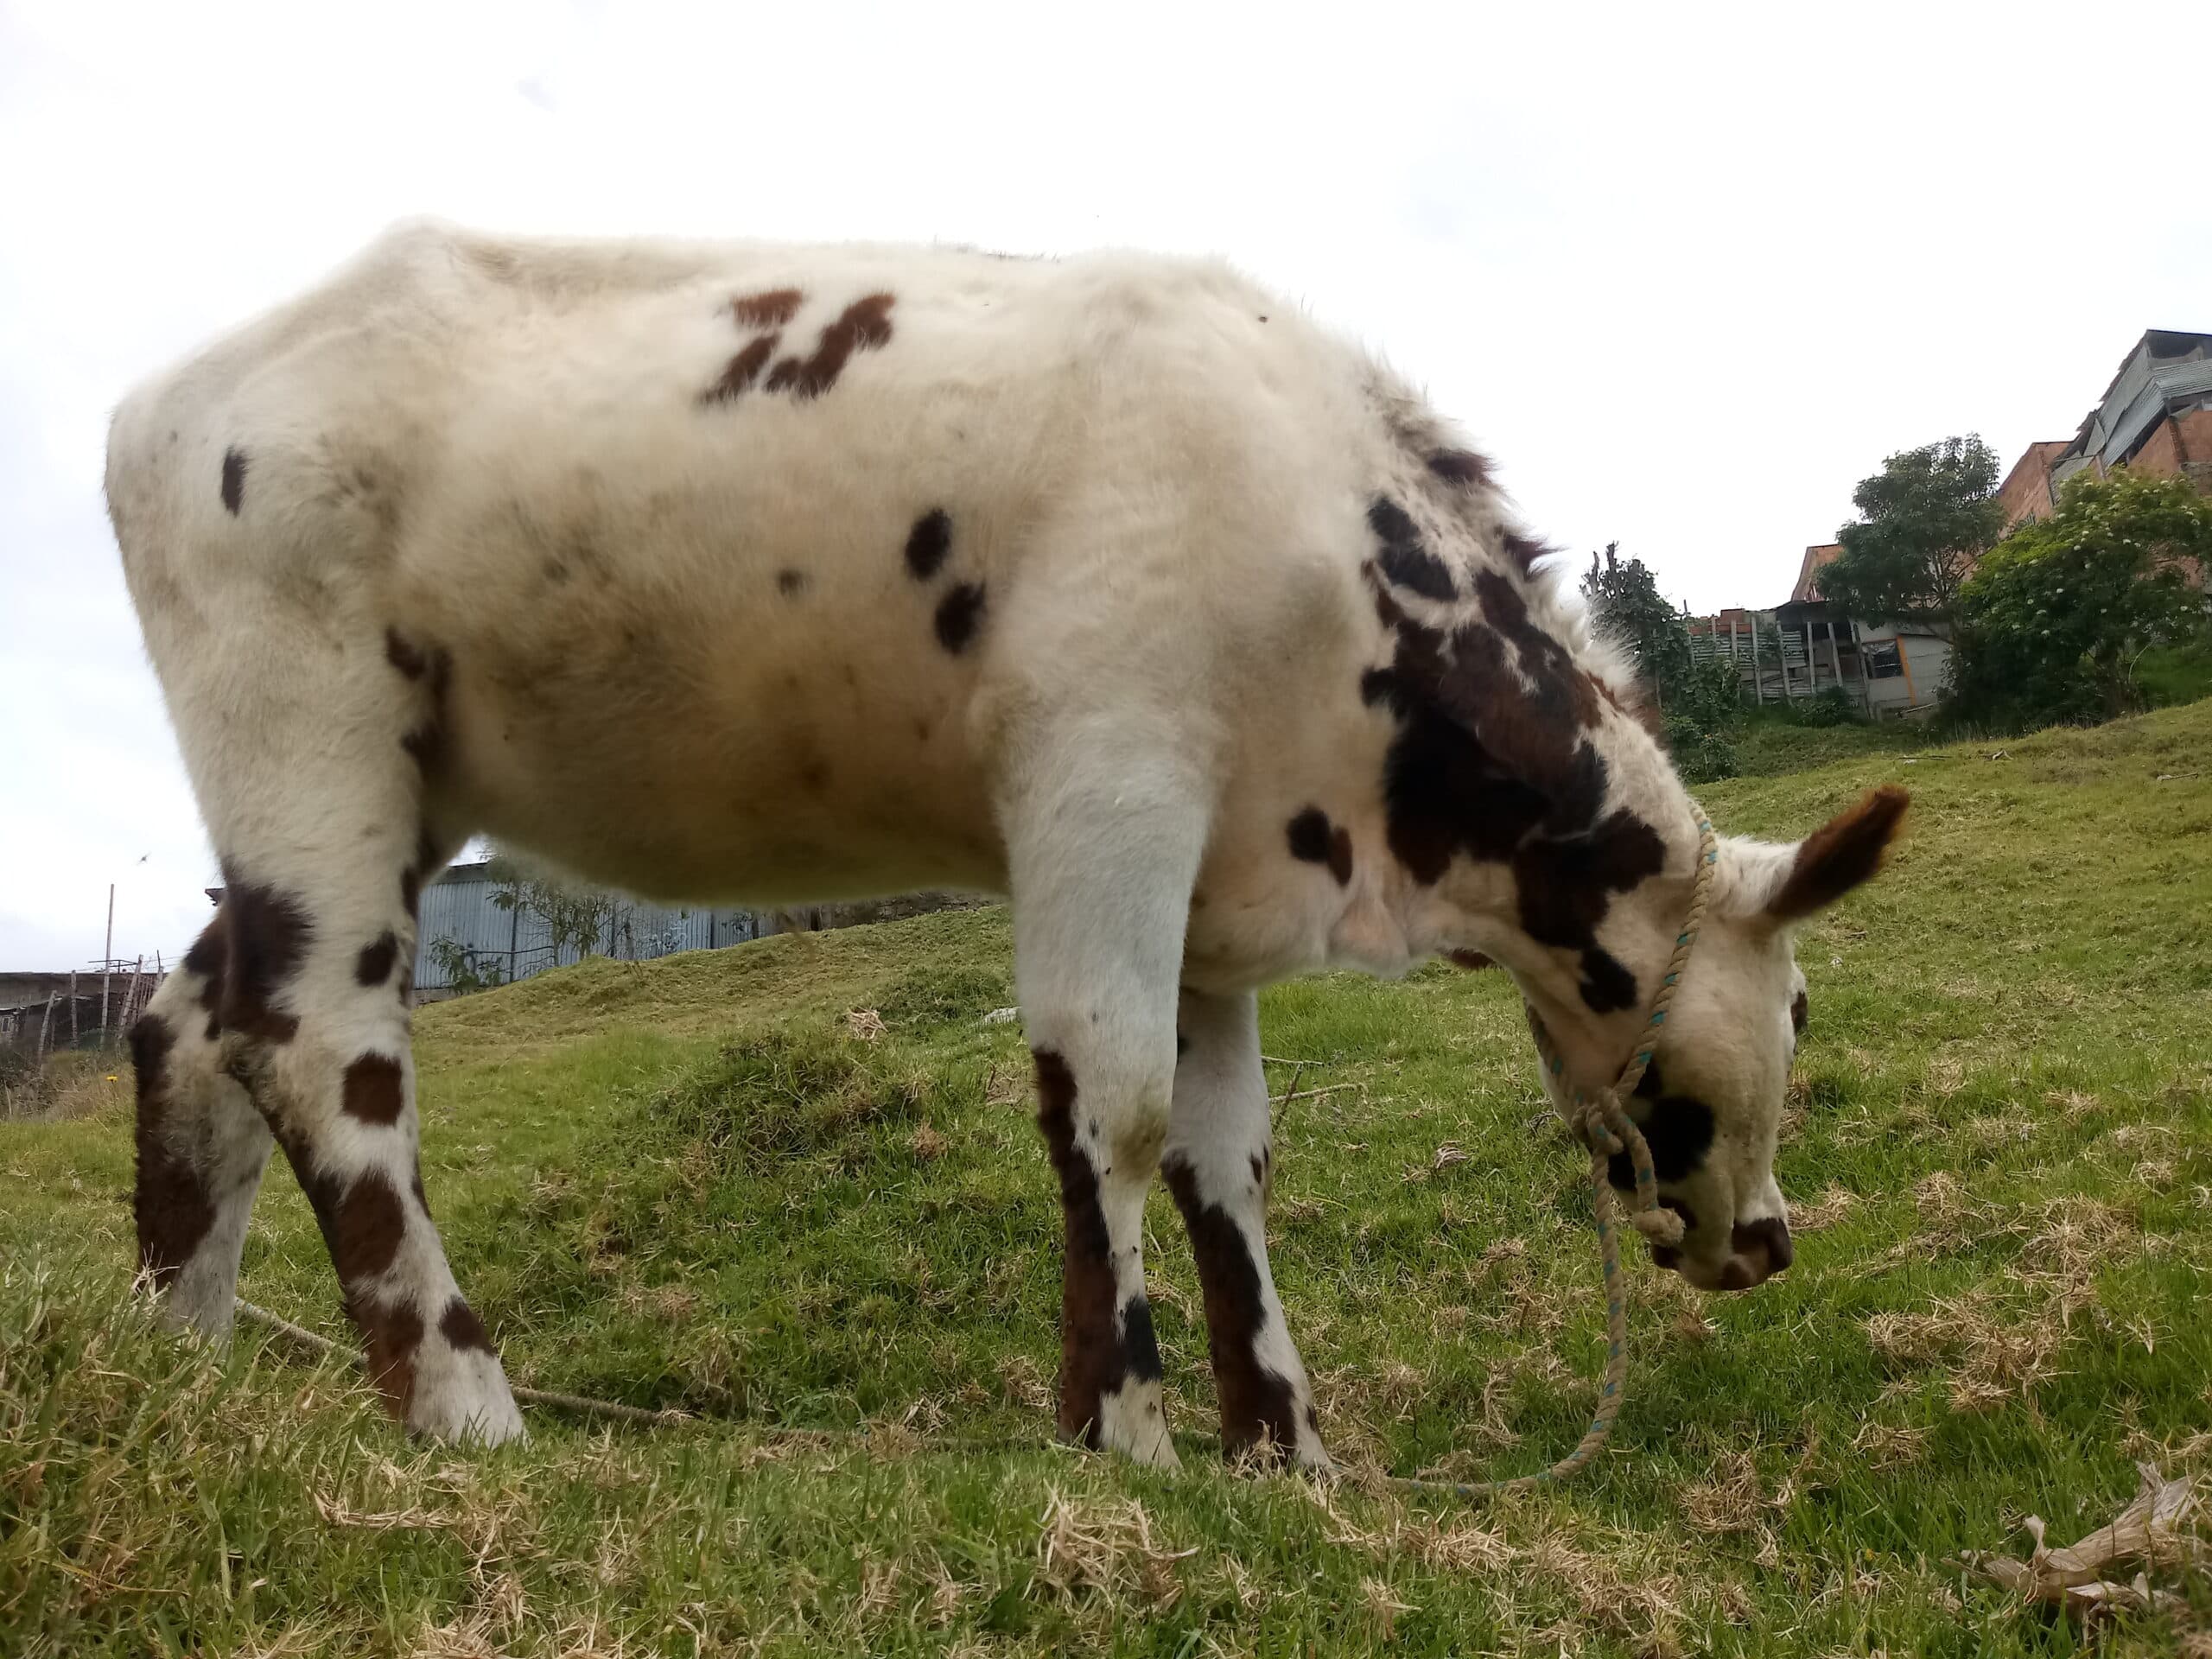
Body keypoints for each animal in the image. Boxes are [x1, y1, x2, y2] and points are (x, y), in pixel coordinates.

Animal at [106, 222, 1906, 1467]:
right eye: (1804, 1007)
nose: (1768, 1242)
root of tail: (165, 398)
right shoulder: (1104, 784)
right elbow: (1110, 1103)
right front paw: (1125, 1432)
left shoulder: (1220, 881)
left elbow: (1226, 1153)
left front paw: (1287, 1452)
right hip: (309, 730)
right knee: (319, 1041)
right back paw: (465, 1404)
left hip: (391, 787)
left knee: (191, 1016)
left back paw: (184, 1358)